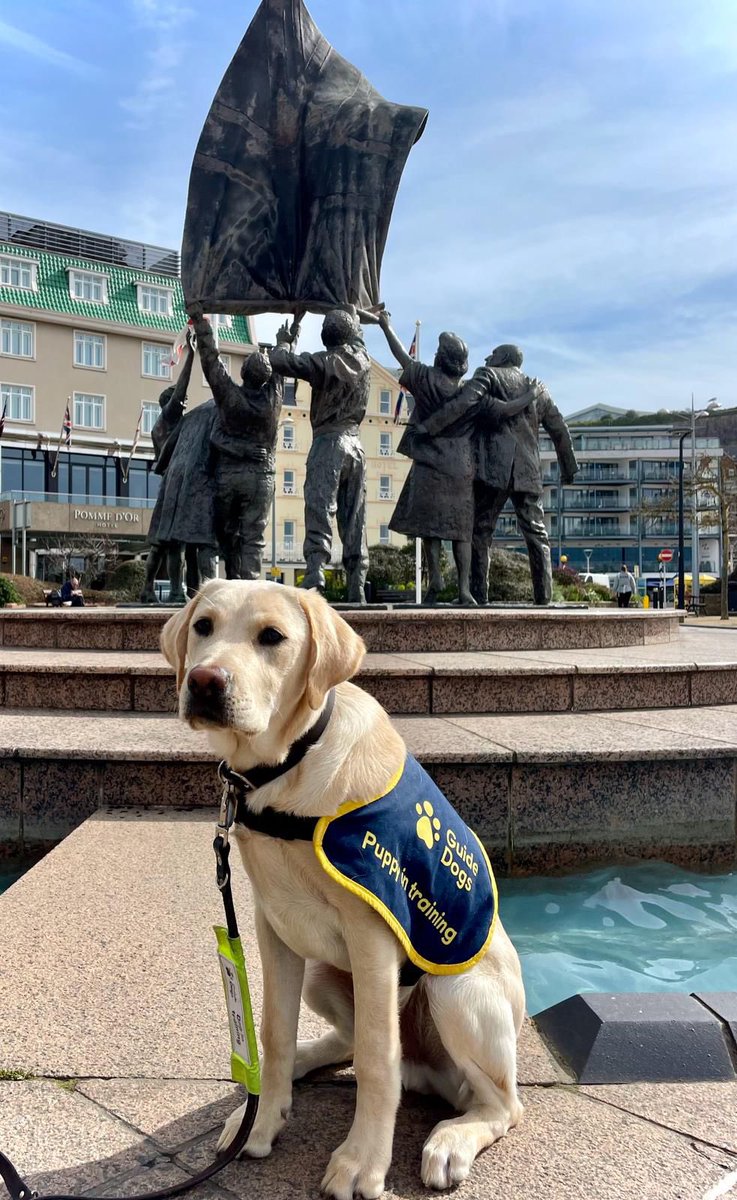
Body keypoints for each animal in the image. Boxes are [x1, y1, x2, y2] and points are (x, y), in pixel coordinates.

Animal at [164, 578, 528, 1190]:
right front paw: (262, 1119)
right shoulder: (274, 925)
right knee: (346, 1044)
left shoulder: (373, 935)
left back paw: (452, 1139)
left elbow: (378, 1058)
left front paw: (362, 1162)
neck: (288, 767)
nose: (205, 681)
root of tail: (427, 1074)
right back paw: (292, 1072)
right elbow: (275, 1032)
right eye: (203, 627)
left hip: (455, 990)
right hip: (320, 972)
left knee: (496, 1102)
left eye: (272, 637)